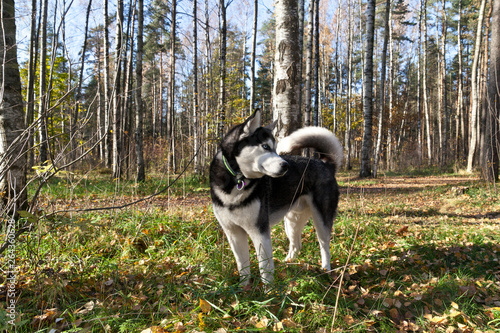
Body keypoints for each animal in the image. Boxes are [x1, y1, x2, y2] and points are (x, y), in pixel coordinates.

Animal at [210, 110, 344, 284]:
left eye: (274, 148)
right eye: (265, 146)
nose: (286, 166)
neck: (235, 182)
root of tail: (325, 163)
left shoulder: (260, 231)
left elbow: (265, 268)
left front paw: (269, 290)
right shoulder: (233, 233)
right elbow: (242, 266)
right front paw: (244, 287)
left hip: (321, 220)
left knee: (324, 245)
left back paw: (326, 270)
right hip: (291, 221)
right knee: (296, 244)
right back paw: (289, 263)